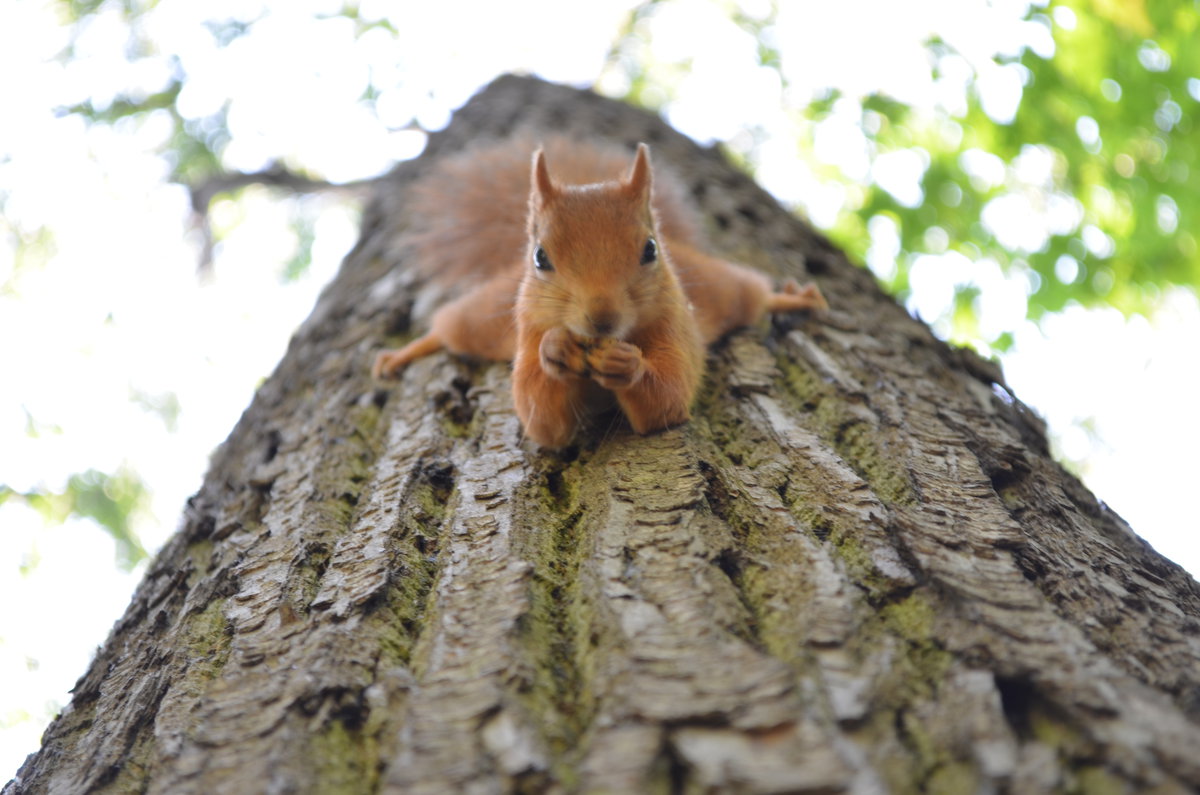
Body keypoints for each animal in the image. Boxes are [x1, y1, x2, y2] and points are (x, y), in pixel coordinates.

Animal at [374, 133, 825, 451]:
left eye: (650, 250)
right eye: (540, 257)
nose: (602, 319)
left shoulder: (676, 324)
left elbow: (670, 397)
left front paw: (627, 365)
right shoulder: (528, 328)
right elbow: (542, 420)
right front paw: (555, 350)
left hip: (722, 287)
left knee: (755, 295)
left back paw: (797, 299)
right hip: (484, 316)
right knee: (446, 328)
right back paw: (402, 354)